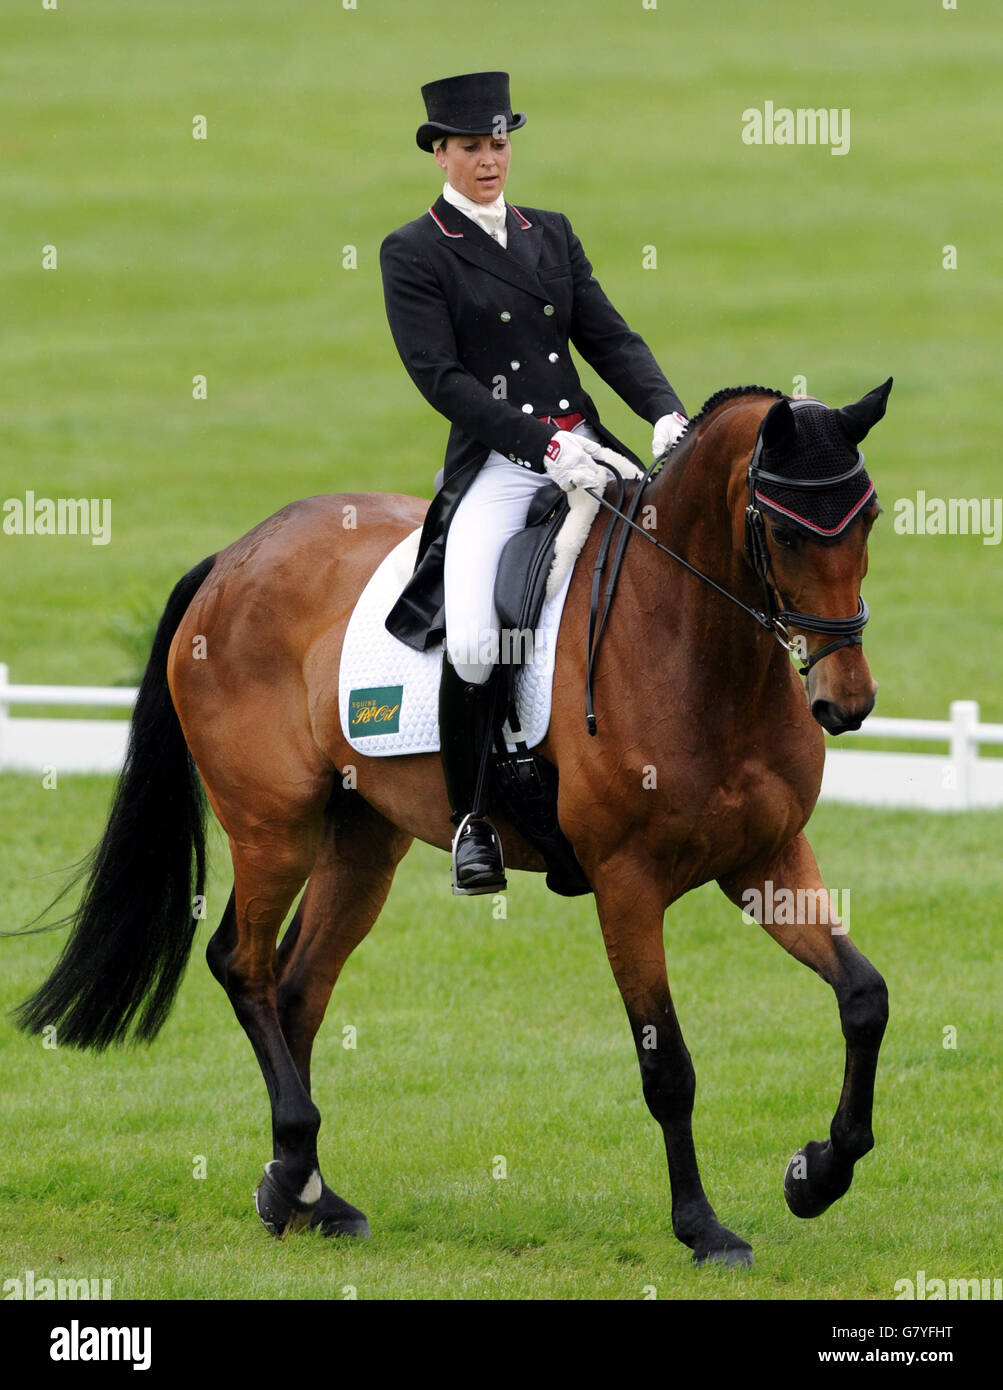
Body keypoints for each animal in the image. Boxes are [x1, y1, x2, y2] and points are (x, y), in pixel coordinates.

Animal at [15, 380, 889, 1273]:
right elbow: (667, 1067)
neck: (694, 644)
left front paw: (816, 1174)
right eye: (785, 531)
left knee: (298, 988)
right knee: (243, 965)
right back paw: (292, 1169)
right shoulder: (626, 883)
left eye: (870, 519)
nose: (845, 704)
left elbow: (863, 996)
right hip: (272, 829)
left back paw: (306, 1194)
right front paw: (702, 1227)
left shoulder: (766, 859)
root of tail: (232, 557)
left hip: (362, 842)